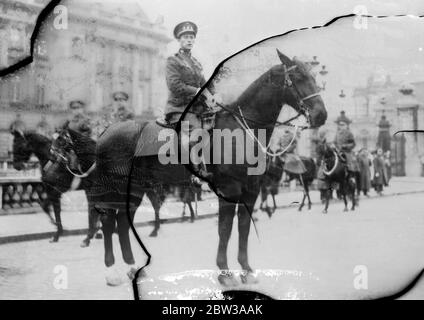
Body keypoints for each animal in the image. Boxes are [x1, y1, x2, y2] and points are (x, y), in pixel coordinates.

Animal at [53, 50, 324, 288]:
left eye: (314, 77)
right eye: (299, 77)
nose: (321, 115)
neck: (240, 130)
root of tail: (106, 131)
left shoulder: (251, 190)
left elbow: (244, 228)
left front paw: (246, 270)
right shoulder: (229, 190)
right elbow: (225, 229)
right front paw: (225, 273)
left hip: (135, 190)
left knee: (121, 222)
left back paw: (132, 268)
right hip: (114, 188)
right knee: (108, 222)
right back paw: (112, 272)